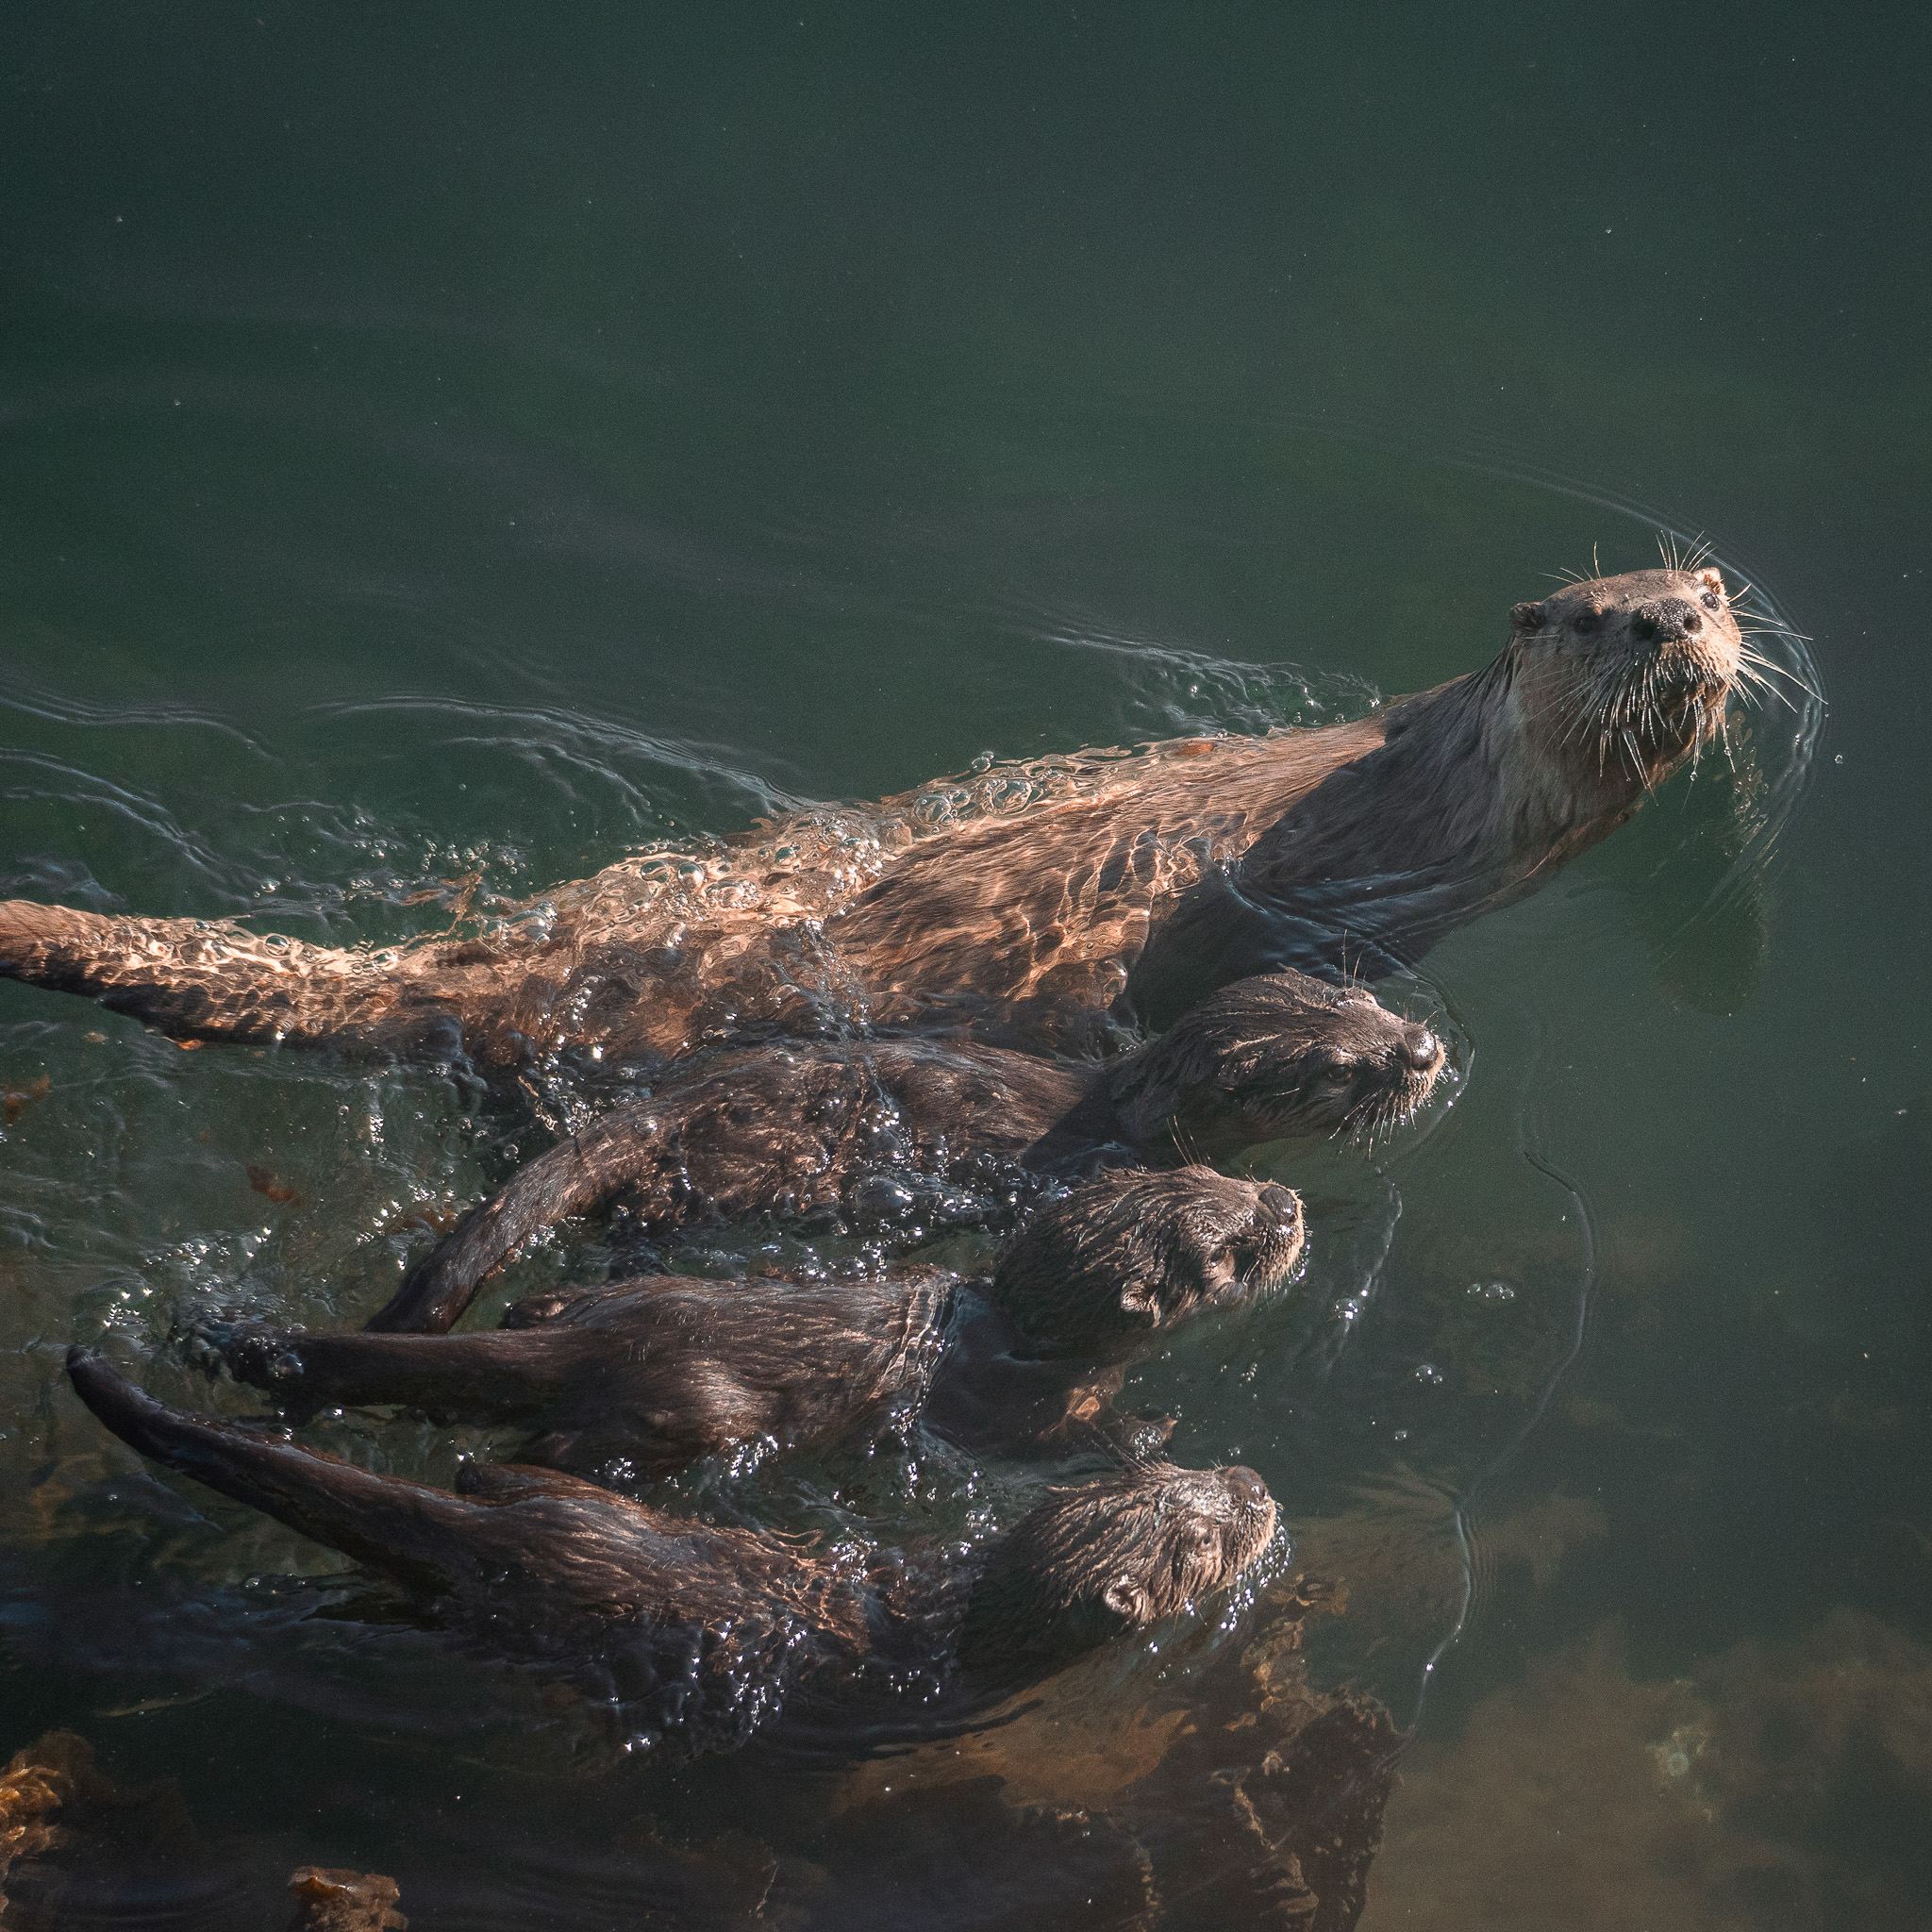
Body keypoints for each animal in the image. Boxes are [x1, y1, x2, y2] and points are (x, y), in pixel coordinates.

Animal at [64, 1352, 1282, 1761]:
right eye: (1203, 1538)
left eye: (1187, 1477)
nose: (1262, 1486)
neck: (969, 1613)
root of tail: (500, 1535)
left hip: (544, 1494)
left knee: (490, 1469)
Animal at [208, 1166, 1298, 1468]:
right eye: (1226, 1252)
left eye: (1218, 1173)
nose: (1286, 1204)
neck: (1004, 1330)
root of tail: (592, 1335)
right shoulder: (1010, 1406)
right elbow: (1056, 1442)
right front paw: (1148, 1431)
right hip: (690, 1406)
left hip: (595, 1299)